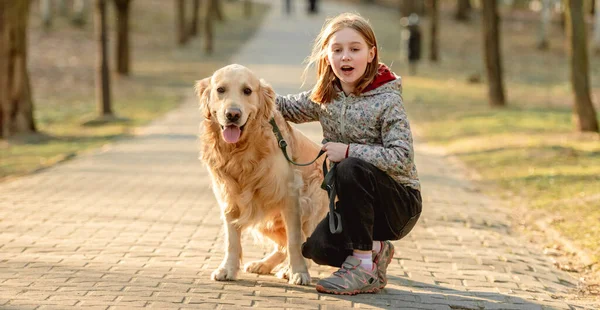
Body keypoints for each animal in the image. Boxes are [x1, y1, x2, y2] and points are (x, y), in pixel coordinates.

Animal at [195, 64, 328, 284]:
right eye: (220, 90)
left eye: (247, 91)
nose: (233, 114)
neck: (241, 152)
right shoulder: (229, 198)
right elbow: (232, 240)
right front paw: (227, 269)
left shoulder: (291, 197)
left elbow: (294, 241)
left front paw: (298, 272)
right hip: (268, 220)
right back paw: (264, 264)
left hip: (314, 196)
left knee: (303, 241)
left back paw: (288, 269)